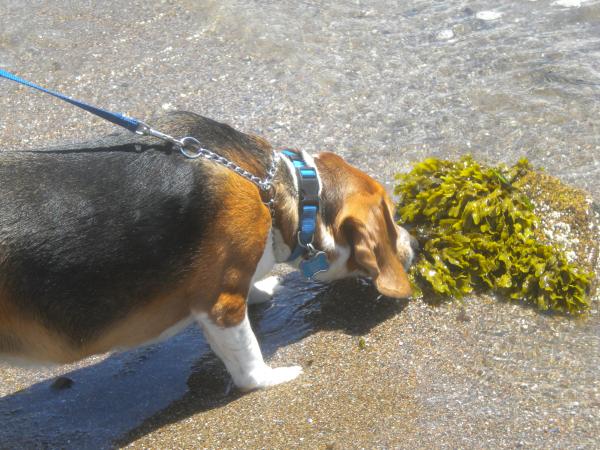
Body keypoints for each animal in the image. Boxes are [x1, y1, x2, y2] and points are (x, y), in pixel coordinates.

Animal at [0, 111, 414, 390]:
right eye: (393, 216)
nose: (415, 244)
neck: (276, 191)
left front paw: (261, 288)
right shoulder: (221, 303)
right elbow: (248, 359)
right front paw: (270, 378)